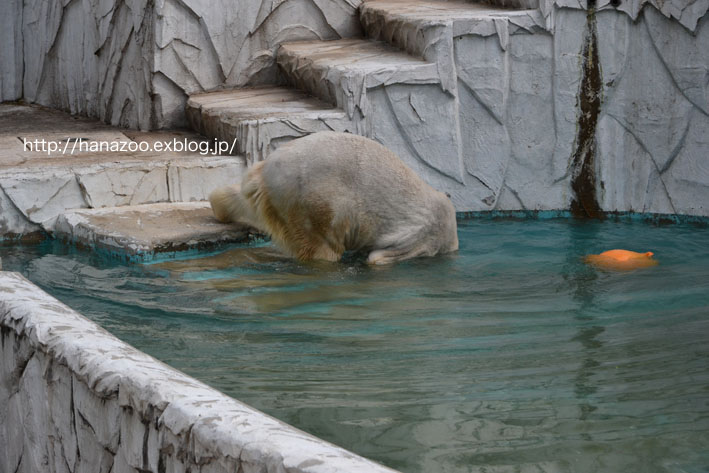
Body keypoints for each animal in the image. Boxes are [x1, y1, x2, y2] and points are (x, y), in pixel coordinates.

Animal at [209, 131, 460, 264]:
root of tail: (266, 170)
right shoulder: (421, 237)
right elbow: (380, 257)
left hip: (270, 195)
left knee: (238, 199)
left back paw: (220, 206)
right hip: (311, 201)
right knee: (322, 247)